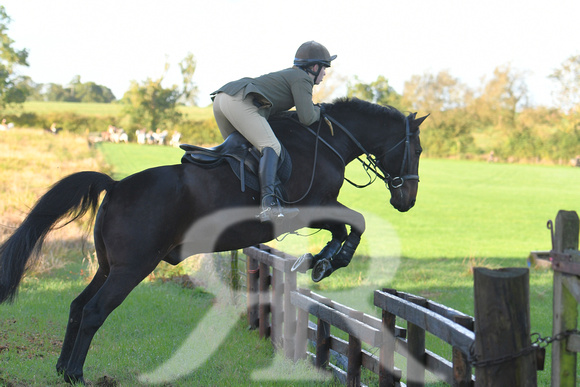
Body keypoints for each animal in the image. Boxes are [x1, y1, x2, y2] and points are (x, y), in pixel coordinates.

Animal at [0, 98, 426, 384]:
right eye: (418, 149)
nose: (407, 202)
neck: (324, 141)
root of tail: (117, 185)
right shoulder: (313, 207)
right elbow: (356, 222)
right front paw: (329, 261)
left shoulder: (320, 210)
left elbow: (345, 228)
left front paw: (320, 261)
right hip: (132, 268)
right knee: (94, 311)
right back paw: (76, 374)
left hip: (109, 266)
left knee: (77, 305)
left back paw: (60, 369)